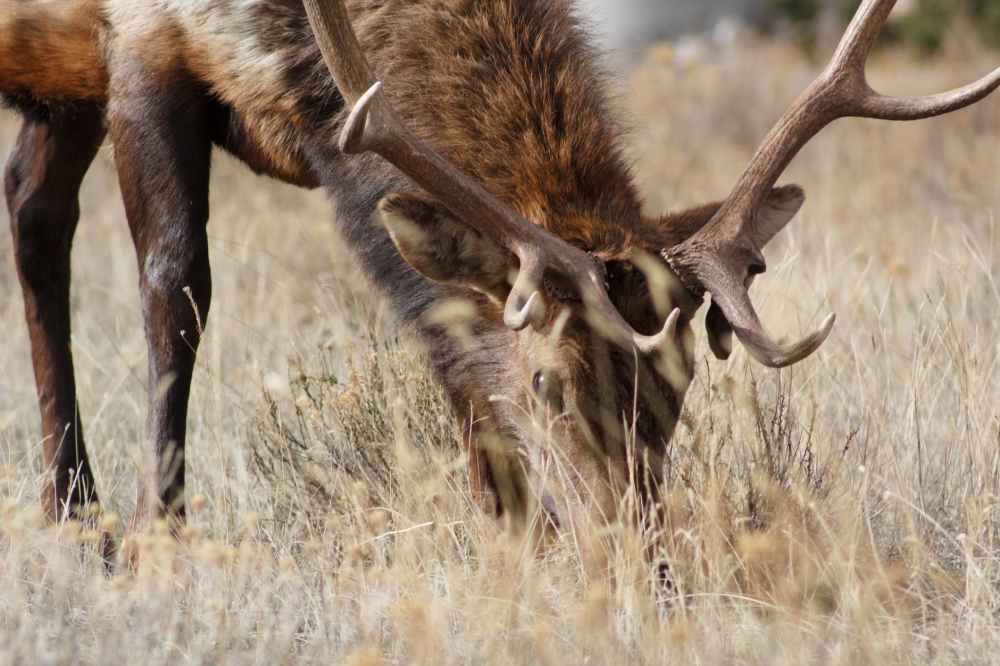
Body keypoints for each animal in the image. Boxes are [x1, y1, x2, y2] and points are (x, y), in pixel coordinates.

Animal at [2, 0, 997, 559]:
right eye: (549, 386)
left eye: (676, 393)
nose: (641, 561)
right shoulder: (142, 47)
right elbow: (175, 286)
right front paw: (157, 542)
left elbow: (451, 354)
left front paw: (510, 541)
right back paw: (83, 517)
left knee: (31, 206)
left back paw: (67, 513)